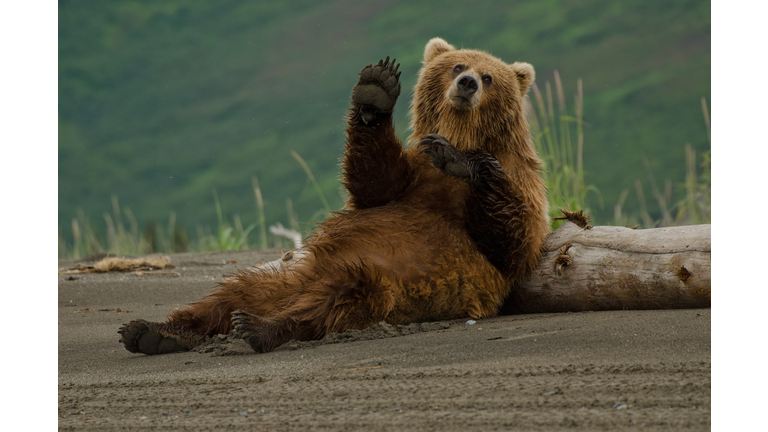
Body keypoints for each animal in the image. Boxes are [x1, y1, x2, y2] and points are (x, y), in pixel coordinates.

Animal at [118, 38, 544, 354]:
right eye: (457, 66)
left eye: (488, 76)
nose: (468, 83)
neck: (463, 132)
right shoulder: (411, 177)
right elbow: (374, 181)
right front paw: (376, 90)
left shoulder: (519, 185)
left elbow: (512, 239)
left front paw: (461, 160)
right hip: (282, 276)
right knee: (227, 293)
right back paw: (153, 331)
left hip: (382, 282)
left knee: (334, 300)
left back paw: (258, 327)